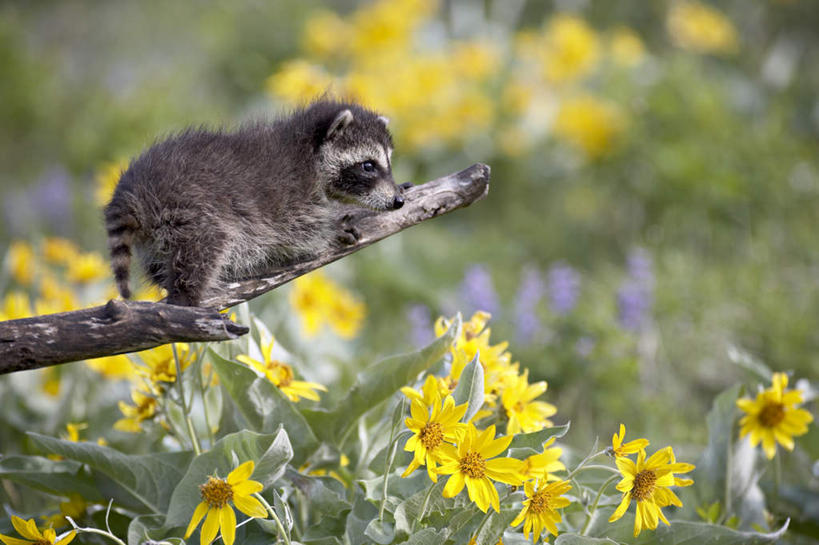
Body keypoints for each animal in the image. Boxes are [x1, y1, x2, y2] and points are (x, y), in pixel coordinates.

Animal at [104, 99, 406, 306]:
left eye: (389, 163)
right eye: (368, 166)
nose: (398, 201)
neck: (309, 150)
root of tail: (132, 189)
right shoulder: (290, 193)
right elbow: (298, 232)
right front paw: (331, 228)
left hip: (155, 234)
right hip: (188, 208)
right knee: (204, 246)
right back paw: (188, 296)